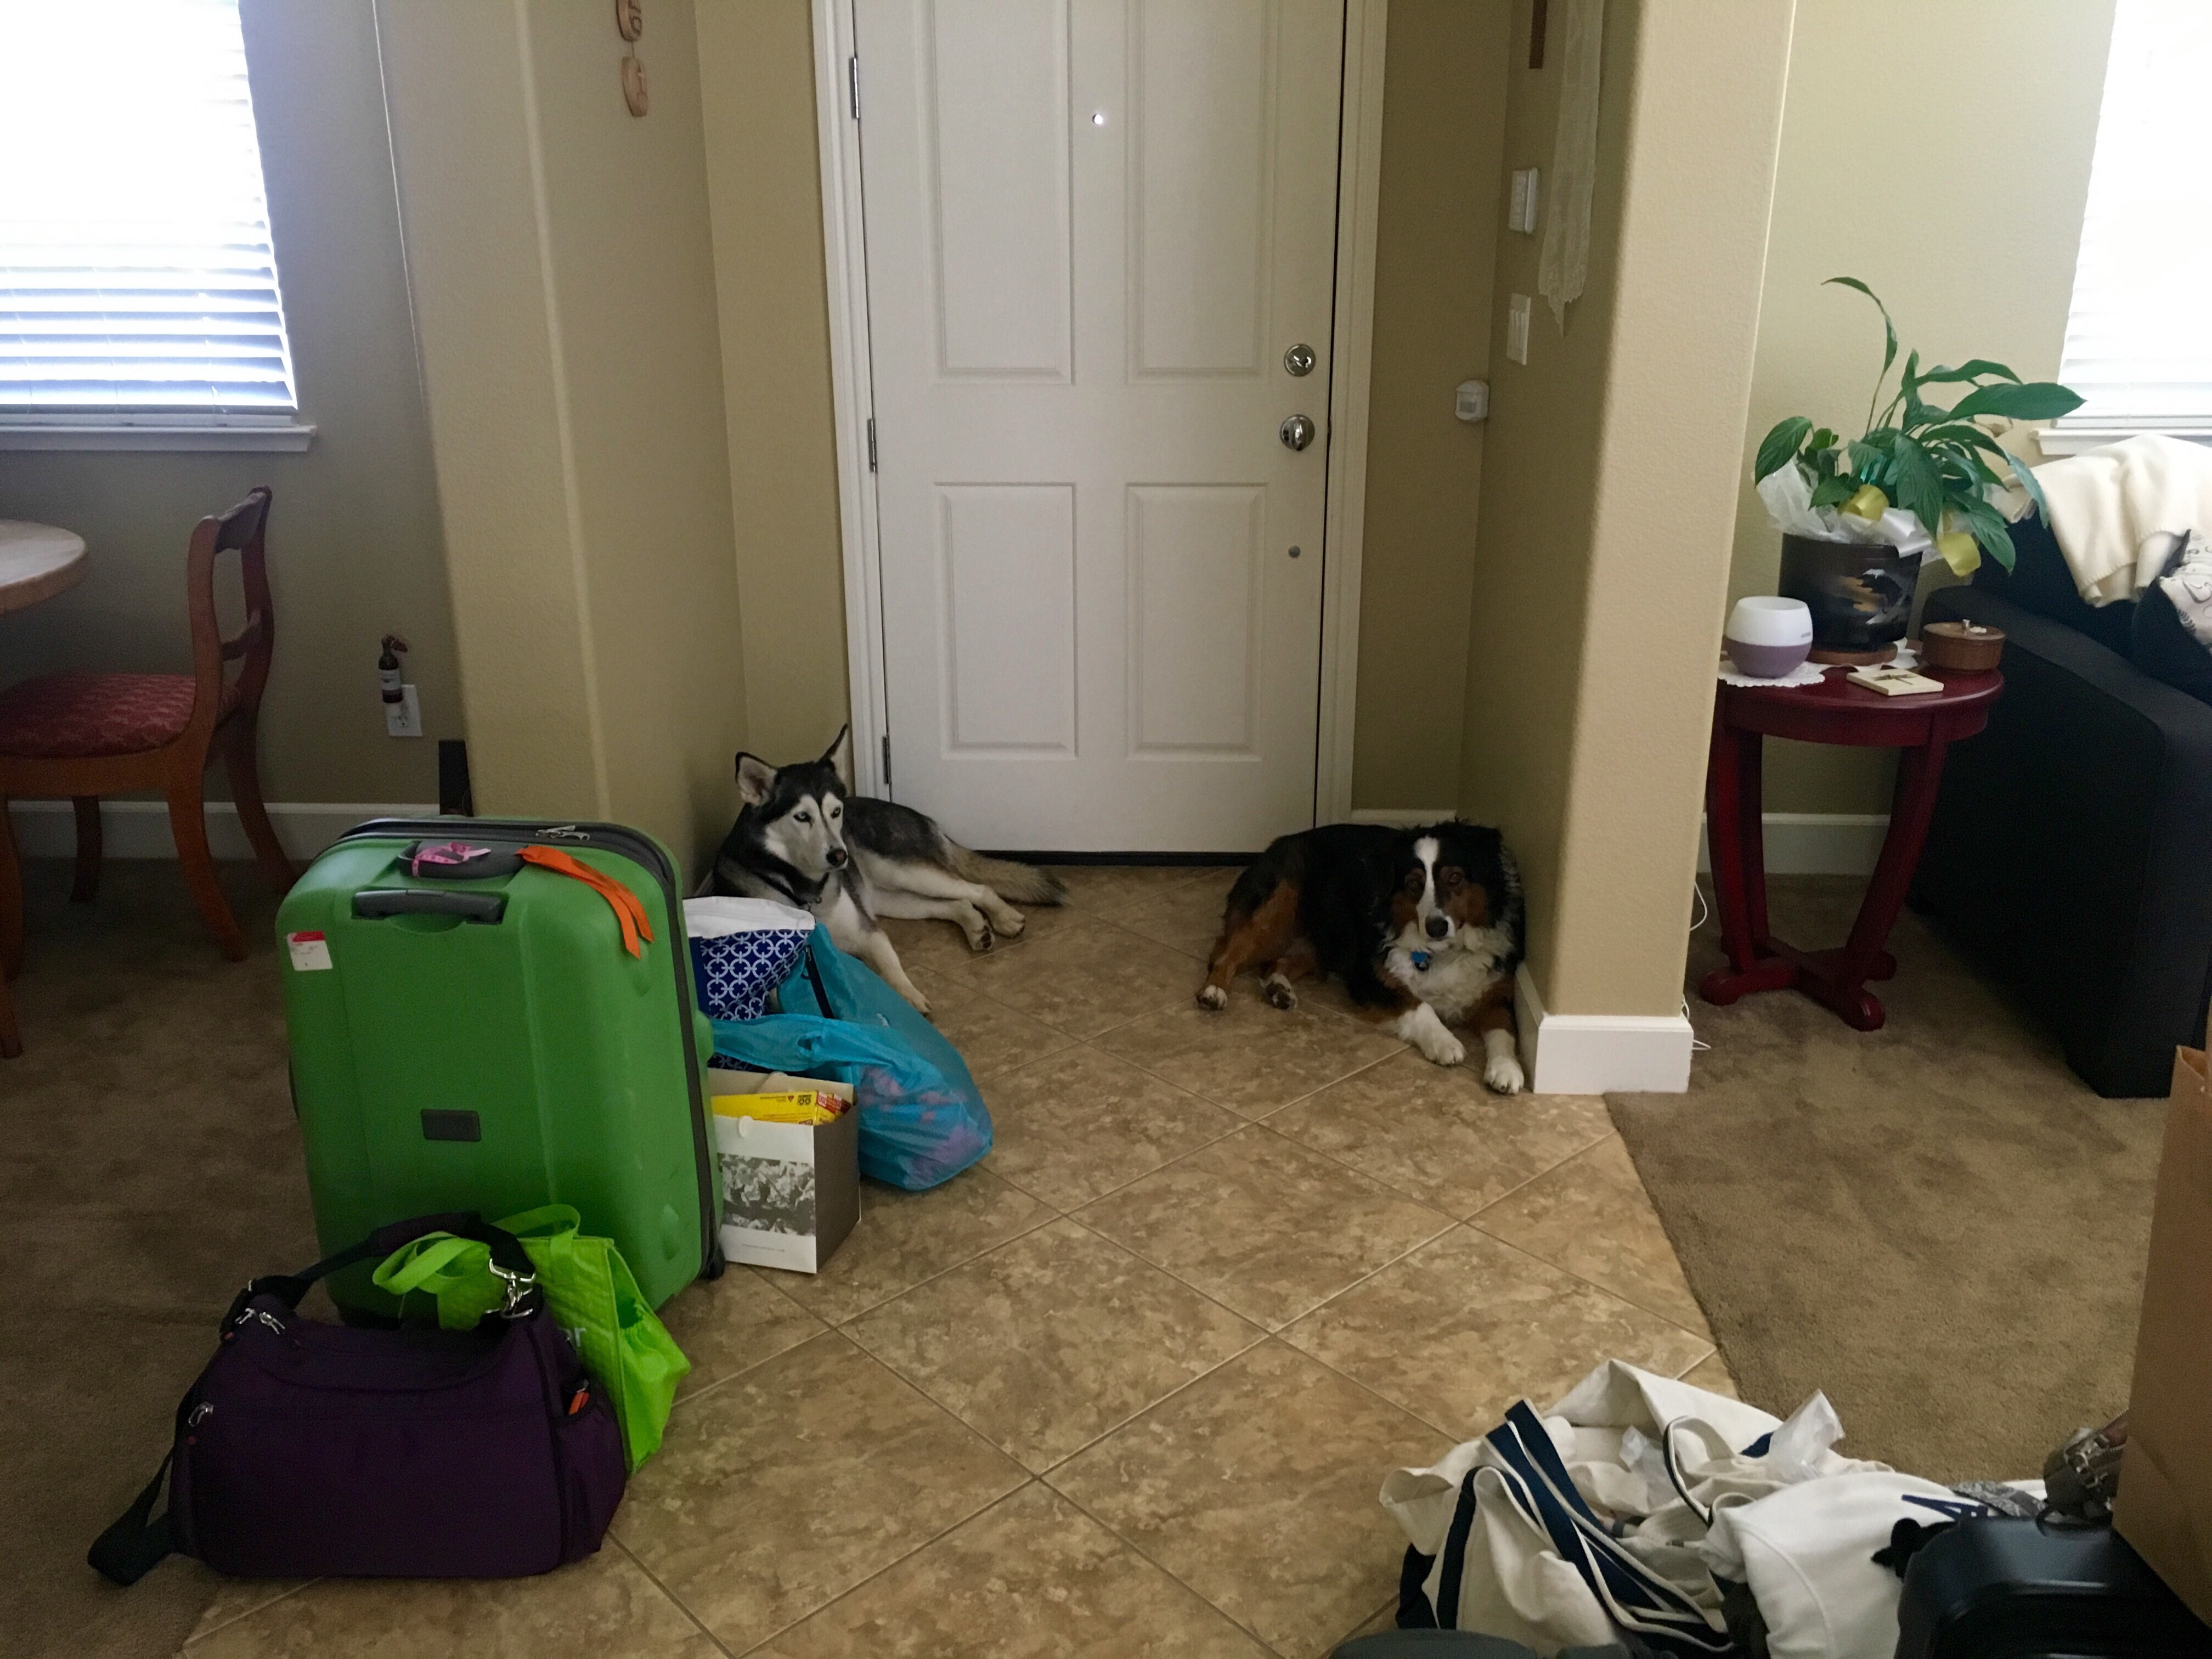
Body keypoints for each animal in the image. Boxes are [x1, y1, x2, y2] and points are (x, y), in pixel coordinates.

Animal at [707, 726, 1065, 1016]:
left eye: (835, 812)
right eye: (802, 817)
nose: (840, 856)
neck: (804, 889)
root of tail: (920, 816)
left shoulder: (868, 933)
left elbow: (891, 969)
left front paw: (909, 998)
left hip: (900, 871)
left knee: (977, 889)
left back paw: (1005, 918)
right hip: (890, 899)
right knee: (956, 904)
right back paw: (978, 928)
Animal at [1197, 820, 1526, 1092]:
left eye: (1455, 878)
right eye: (1414, 883)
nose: (1436, 927)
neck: (1441, 953)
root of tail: (1280, 841)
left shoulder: (1497, 992)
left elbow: (1505, 1028)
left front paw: (1507, 1068)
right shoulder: (1371, 979)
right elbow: (1420, 1007)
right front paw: (1445, 1042)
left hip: (1325, 941)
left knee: (1274, 963)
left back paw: (1280, 989)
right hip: (1280, 901)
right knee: (1225, 954)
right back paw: (1214, 992)